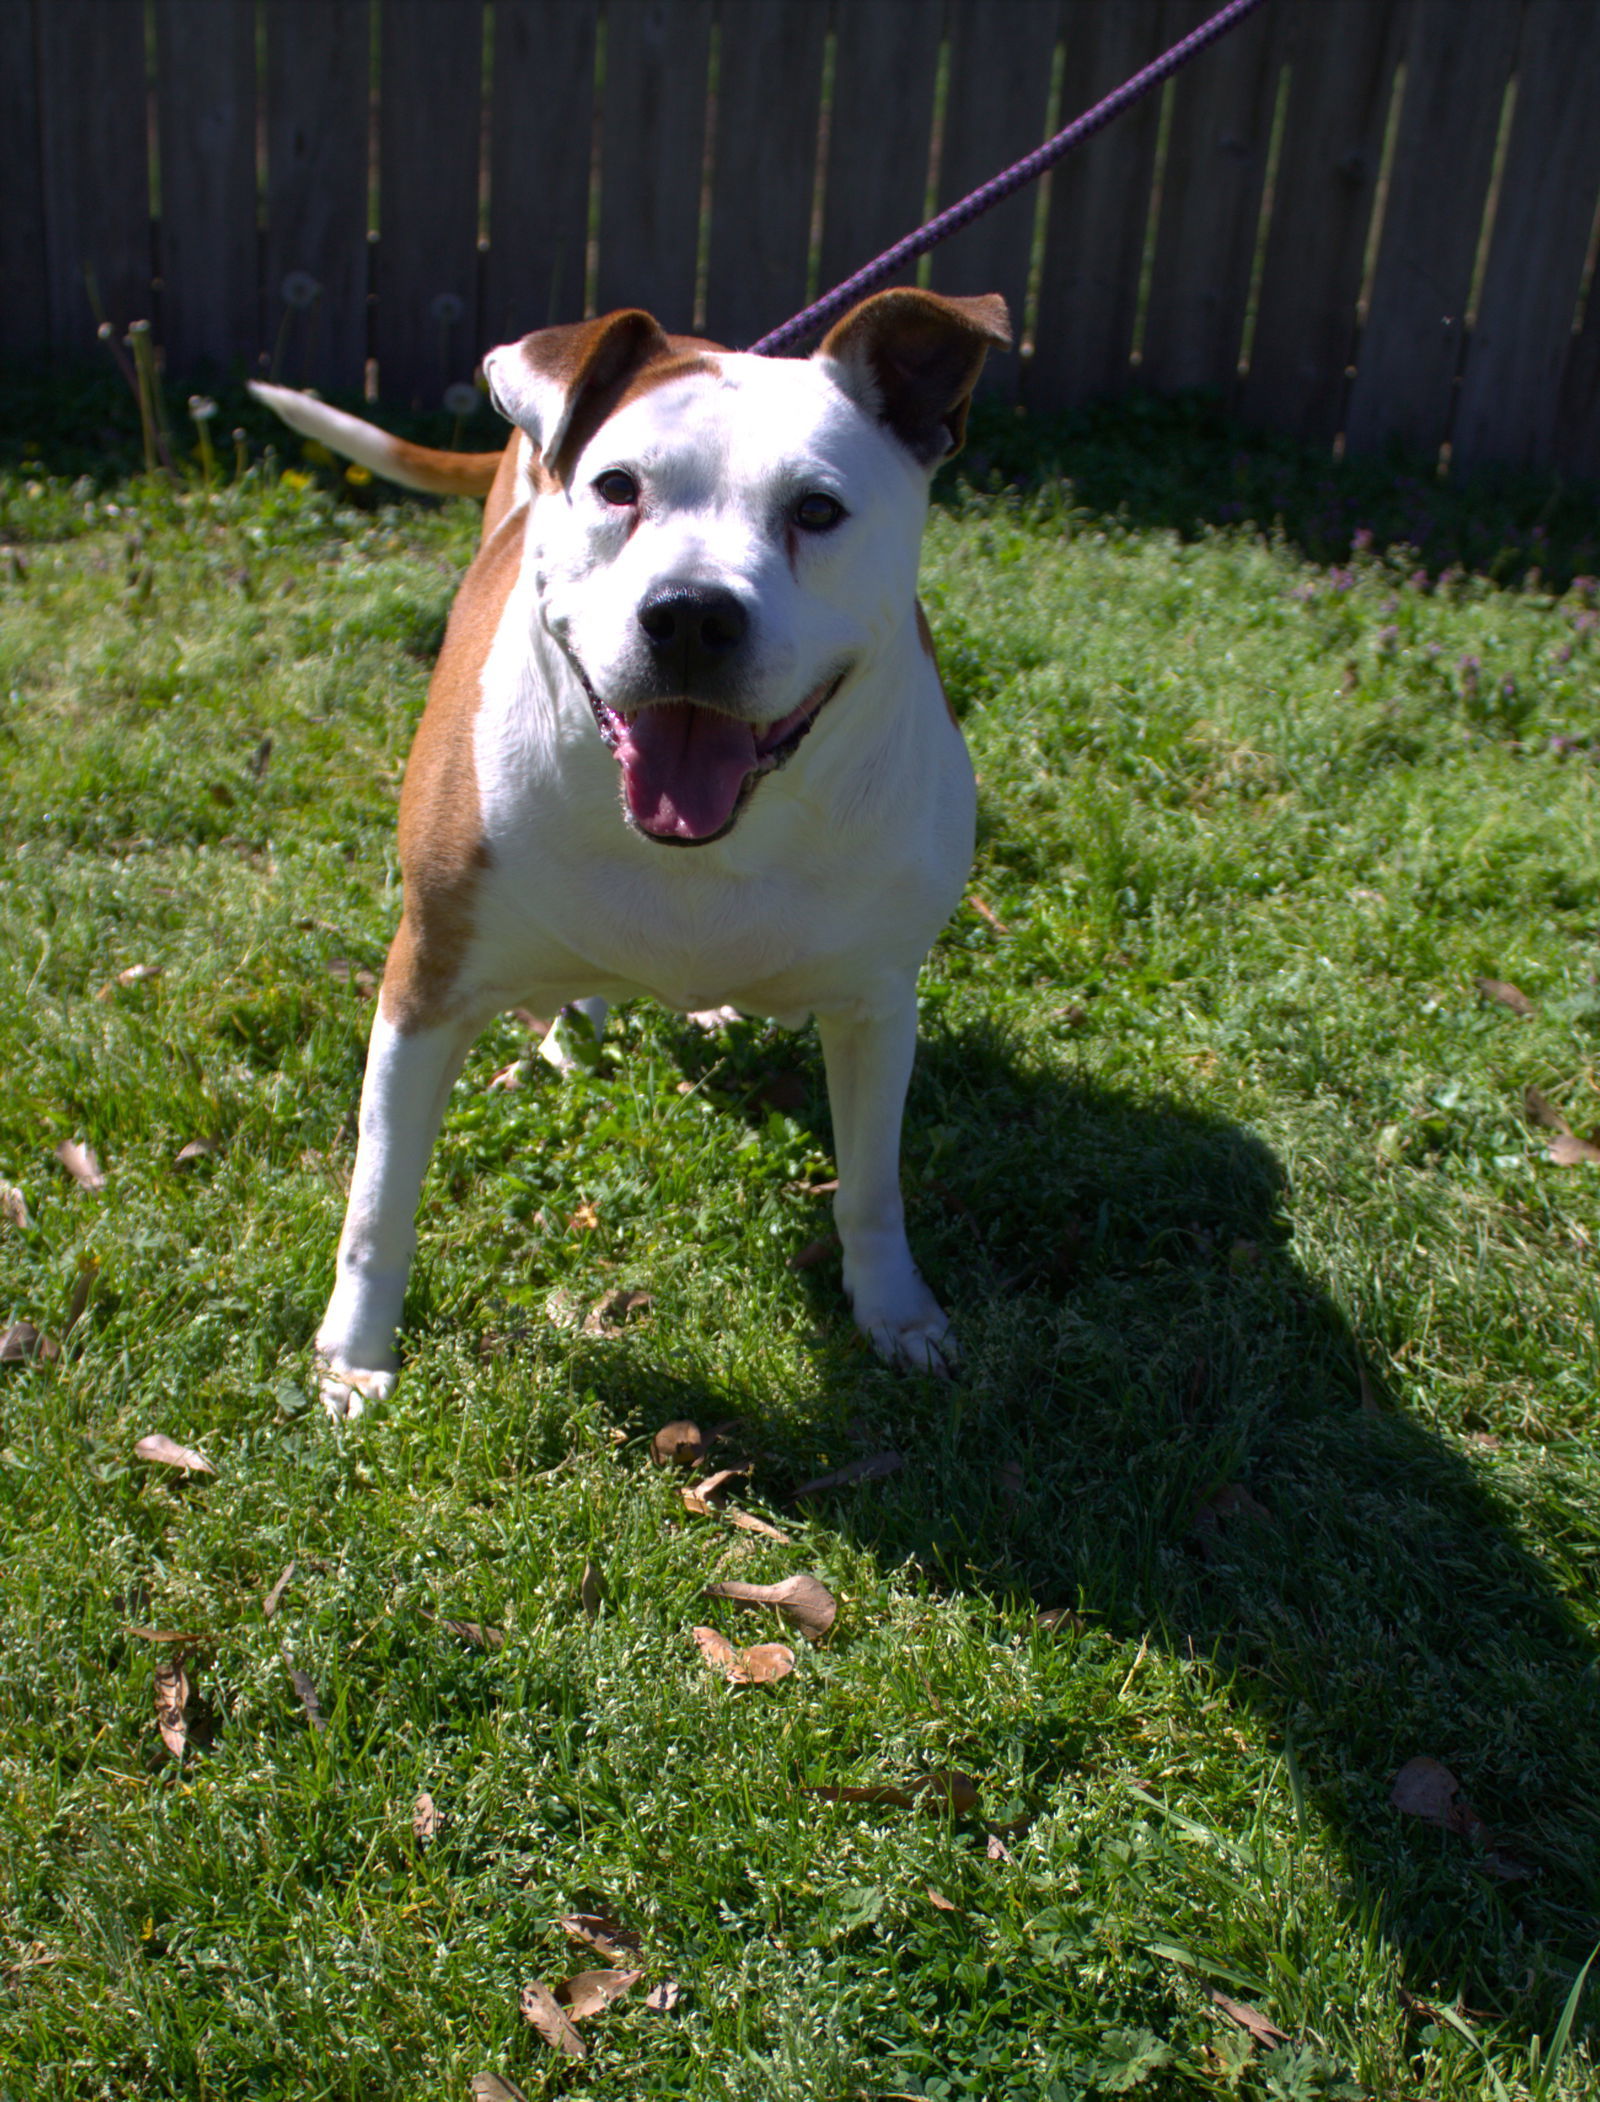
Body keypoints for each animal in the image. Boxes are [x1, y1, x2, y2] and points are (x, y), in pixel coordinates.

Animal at [252, 287, 1009, 1420]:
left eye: (817, 510)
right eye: (618, 487)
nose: (691, 613)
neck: (711, 839)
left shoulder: (877, 1003)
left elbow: (873, 1186)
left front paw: (895, 1309)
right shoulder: (423, 985)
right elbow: (379, 1195)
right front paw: (354, 1350)